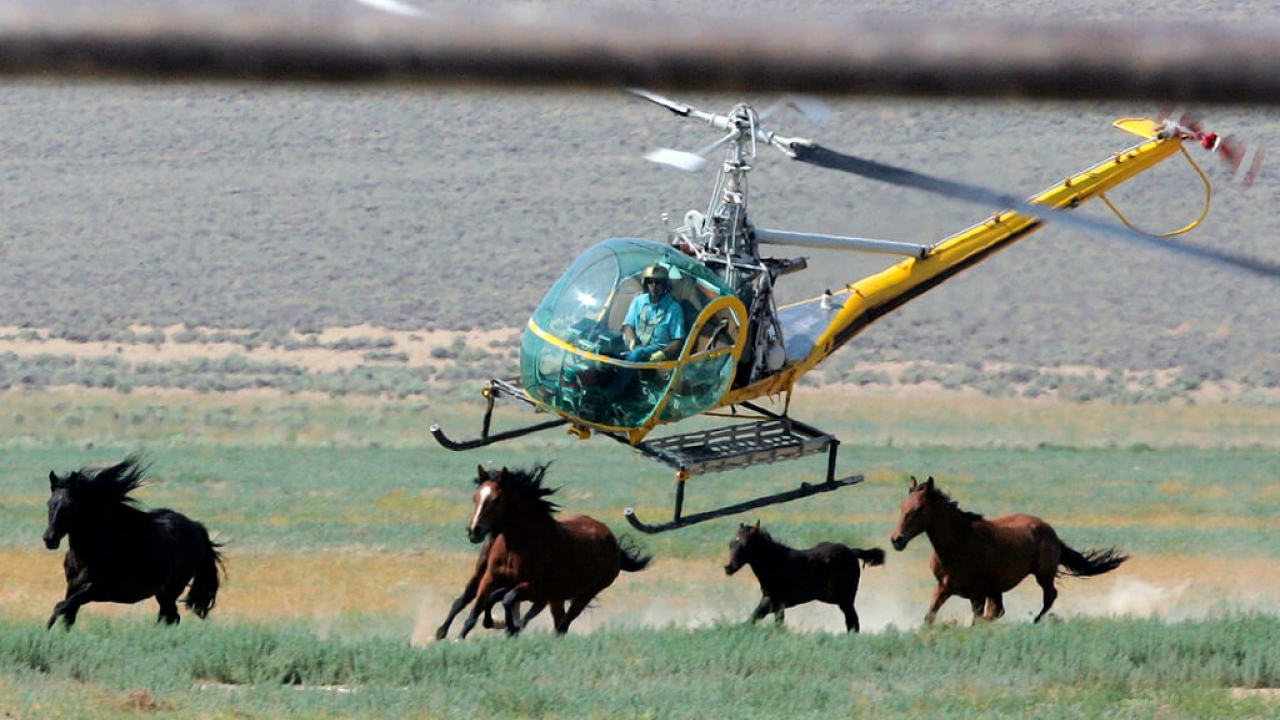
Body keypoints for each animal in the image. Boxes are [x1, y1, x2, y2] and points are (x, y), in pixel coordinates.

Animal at [43, 455, 224, 629]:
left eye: (70, 505)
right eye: (49, 503)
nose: (49, 539)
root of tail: (196, 527)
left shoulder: (97, 589)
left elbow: (60, 607)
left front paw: (48, 628)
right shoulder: (73, 586)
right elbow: (68, 617)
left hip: (171, 589)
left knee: (170, 617)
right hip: (163, 593)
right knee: (170, 617)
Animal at [450, 463, 651, 638]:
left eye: (496, 499)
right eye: (475, 497)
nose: (474, 530)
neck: (515, 547)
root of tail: (612, 542)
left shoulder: (533, 588)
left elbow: (507, 599)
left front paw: (508, 627)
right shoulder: (490, 578)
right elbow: (478, 608)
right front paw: (461, 637)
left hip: (585, 594)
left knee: (562, 625)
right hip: (557, 597)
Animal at [724, 521, 885, 633]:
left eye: (745, 545)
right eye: (731, 543)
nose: (728, 567)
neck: (777, 563)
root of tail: (852, 551)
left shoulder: (775, 602)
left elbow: (758, 618)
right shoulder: (773, 603)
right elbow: (757, 619)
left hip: (845, 599)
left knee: (853, 622)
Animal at [890, 476, 1128, 625]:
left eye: (919, 509)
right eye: (902, 507)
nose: (897, 540)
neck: (959, 543)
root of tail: (1050, 531)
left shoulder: (977, 594)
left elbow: (979, 619)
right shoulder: (944, 588)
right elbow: (929, 618)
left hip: (1043, 575)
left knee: (1049, 596)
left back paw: (1035, 620)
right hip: (998, 589)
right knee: (1002, 609)